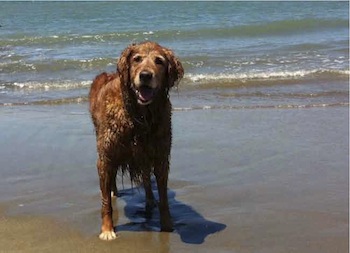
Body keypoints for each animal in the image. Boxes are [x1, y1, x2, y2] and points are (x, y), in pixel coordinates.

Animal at [89, 40, 185, 240]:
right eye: (137, 59)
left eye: (159, 61)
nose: (145, 75)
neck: (140, 115)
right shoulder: (106, 156)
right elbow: (105, 202)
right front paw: (107, 229)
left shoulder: (160, 155)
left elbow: (164, 197)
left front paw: (167, 225)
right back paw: (113, 191)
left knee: (147, 181)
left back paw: (149, 201)